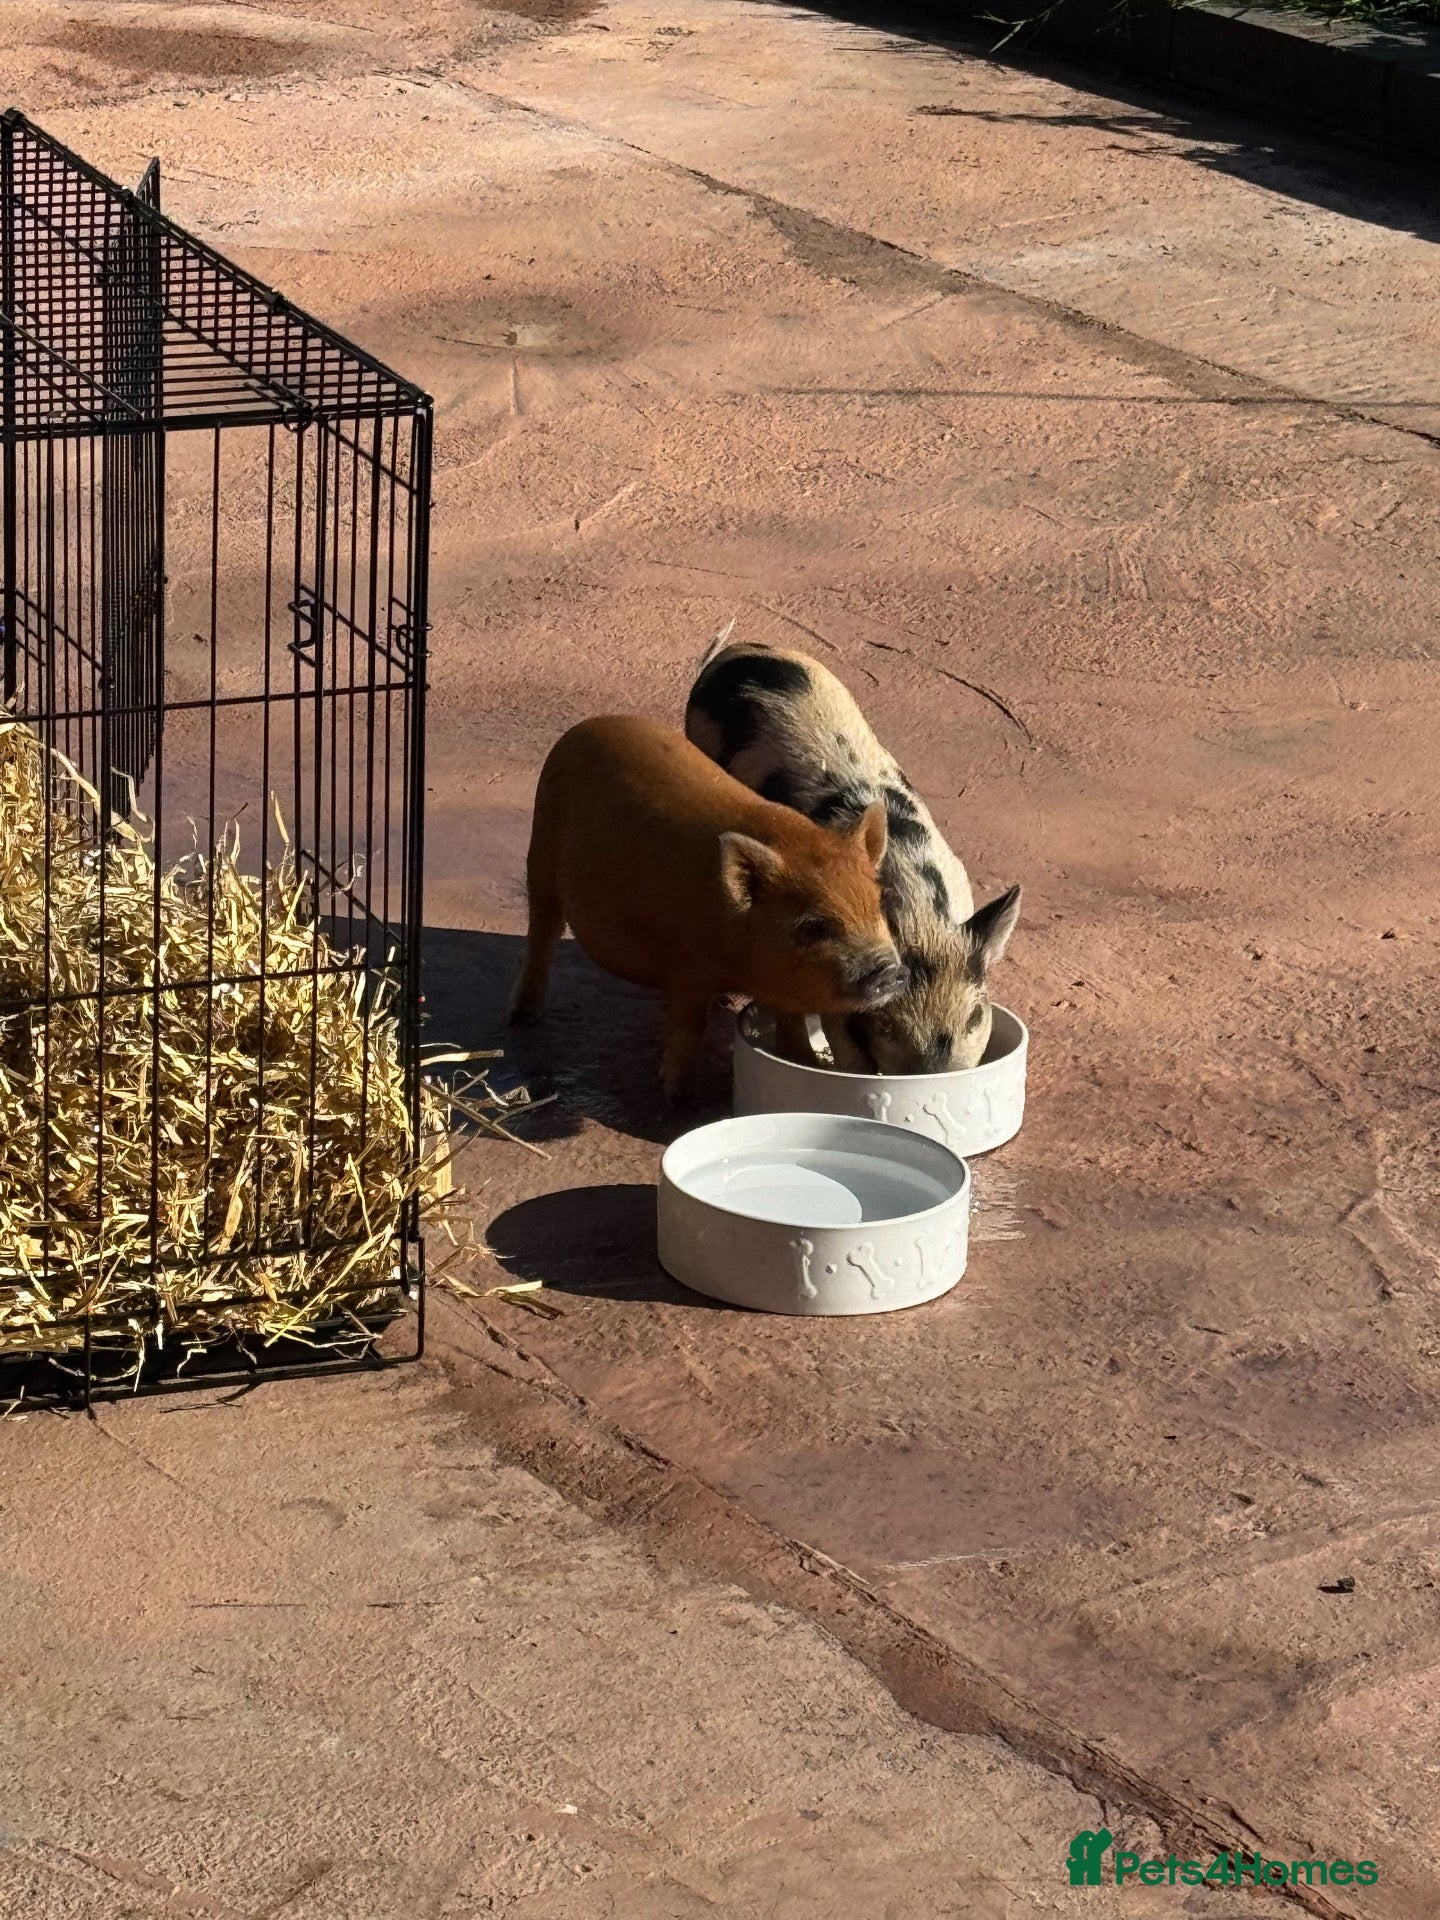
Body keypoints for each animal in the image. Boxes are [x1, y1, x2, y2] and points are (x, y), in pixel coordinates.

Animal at [510, 715, 906, 1104]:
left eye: (878, 903)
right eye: (812, 926)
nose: (890, 970)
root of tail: (584, 727)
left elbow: (792, 1027)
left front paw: (807, 1063)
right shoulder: (687, 966)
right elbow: (690, 1026)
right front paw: (678, 1097)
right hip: (540, 857)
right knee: (542, 934)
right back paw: (524, 1017)